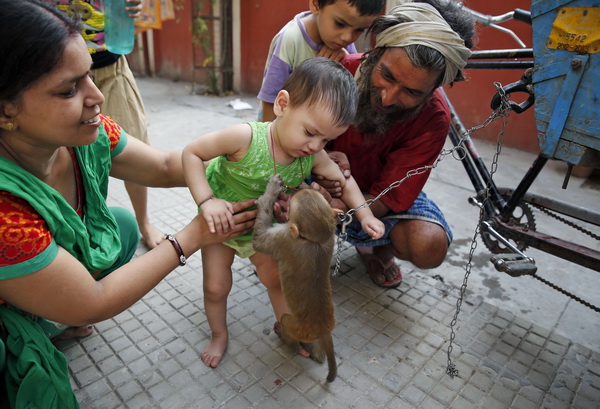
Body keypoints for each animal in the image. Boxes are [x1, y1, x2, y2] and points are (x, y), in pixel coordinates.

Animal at [252, 174, 338, 380]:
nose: (301, 186)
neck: (315, 241)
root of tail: (324, 329)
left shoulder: (285, 239)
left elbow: (258, 240)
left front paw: (271, 191)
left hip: (297, 327)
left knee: (286, 321)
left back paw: (287, 339)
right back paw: (317, 355)